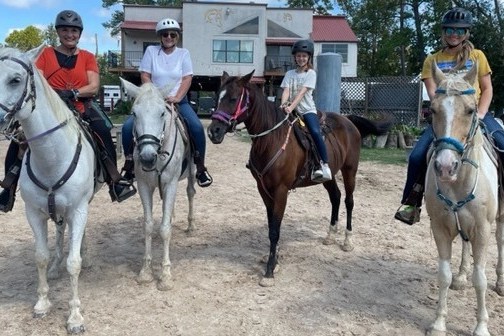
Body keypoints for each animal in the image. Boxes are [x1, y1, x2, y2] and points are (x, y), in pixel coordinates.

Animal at [0, 46, 101, 332]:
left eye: (15, 80)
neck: (51, 158)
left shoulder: (79, 209)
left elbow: (74, 263)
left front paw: (75, 317)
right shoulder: (33, 213)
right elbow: (41, 257)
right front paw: (42, 303)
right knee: (59, 230)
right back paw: (56, 266)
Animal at [119, 79, 196, 292]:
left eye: (162, 113)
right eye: (134, 113)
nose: (147, 157)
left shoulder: (170, 184)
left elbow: (164, 229)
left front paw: (165, 275)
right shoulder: (144, 186)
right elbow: (148, 226)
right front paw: (145, 272)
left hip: (193, 172)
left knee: (191, 193)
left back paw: (191, 225)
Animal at [207, 71, 392, 286]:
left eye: (233, 98)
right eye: (217, 97)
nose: (213, 131)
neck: (271, 139)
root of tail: (348, 121)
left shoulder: (281, 190)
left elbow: (275, 230)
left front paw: (269, 270)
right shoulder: (263, 189)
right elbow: (272, 225)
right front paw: (274, 259)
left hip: (350, 170)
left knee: (349, 201)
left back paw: (347, 241)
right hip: (329, 176)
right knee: (336, 197)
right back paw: (330, 235)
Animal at [426, 63, 504, 336]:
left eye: (470, 110)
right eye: (432, 110)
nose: (445, 167)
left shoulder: (482, 229)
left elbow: (480, 280)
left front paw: (481, 327)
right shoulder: (440, 227)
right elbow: (443, 275)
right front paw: (439, 323)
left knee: (501, 242)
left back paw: (501, 282)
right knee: (464, 244)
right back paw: (461, 276)